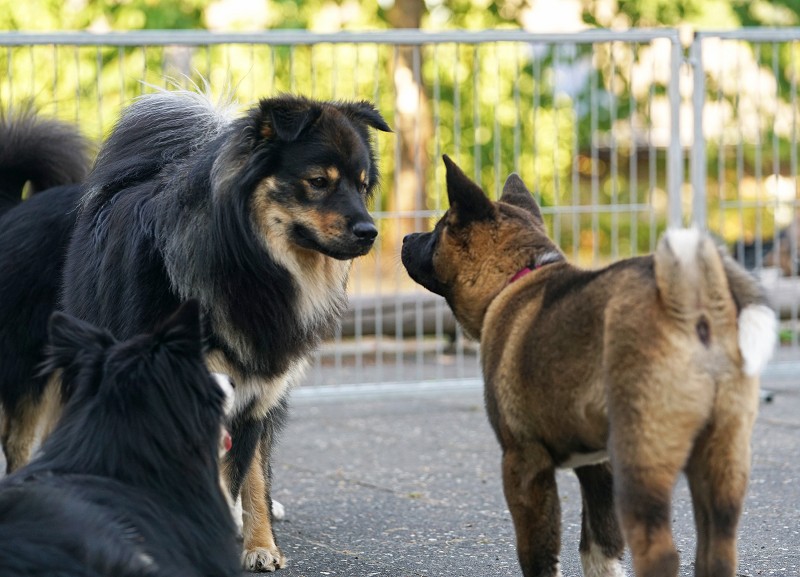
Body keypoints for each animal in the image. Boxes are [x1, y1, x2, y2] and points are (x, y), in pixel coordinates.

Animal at [400, 155, 776, 576]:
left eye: (439, 229)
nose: (405, 239)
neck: (516, 276)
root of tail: (693, 304)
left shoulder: (524, 464)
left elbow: (540, 556)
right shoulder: (598, 468)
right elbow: (598, 546)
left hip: (642, 463)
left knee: (659, 551)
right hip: (721, 463)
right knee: (717, 550)